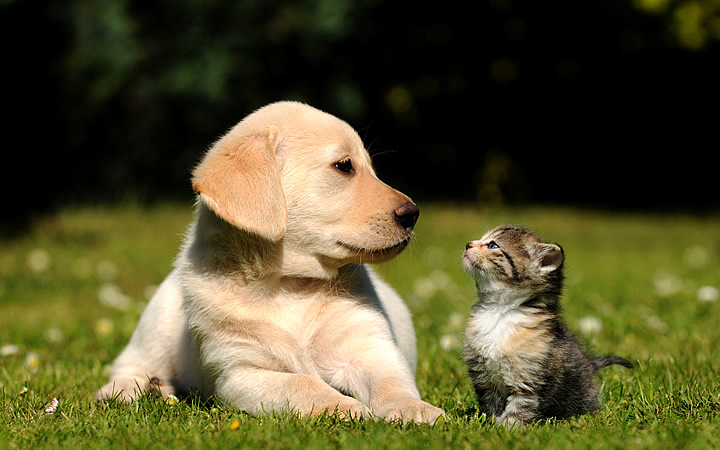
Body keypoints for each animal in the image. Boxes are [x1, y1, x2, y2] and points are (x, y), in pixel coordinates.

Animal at [95, 100, 444, 424]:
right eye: (344, 166)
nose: (413, 214)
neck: (289, 284)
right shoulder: (241, 373)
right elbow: (303, 384)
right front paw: (344, 408)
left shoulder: (369, 347)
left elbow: (391, 380)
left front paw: (413, 408)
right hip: (156, 322)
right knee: (129, 363)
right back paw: (125, 390)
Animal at [462, 227, 632, 428]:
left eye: (493, 245)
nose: (468, 244)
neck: (499, 312)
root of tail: (590, 365)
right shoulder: (485, 379)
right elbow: (491, 404)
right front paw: (490, 424)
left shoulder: (529, 380)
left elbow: (519, 408)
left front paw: (508, 428)